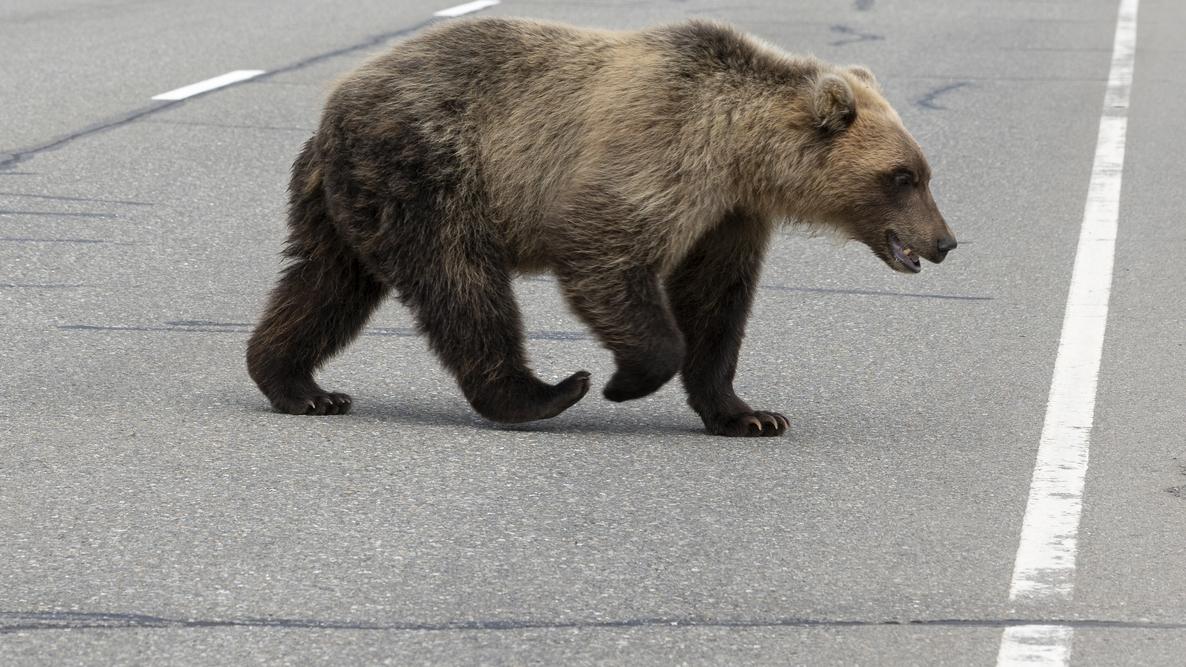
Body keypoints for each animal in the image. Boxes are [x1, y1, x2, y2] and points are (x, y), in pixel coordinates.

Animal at [243, 15, 953, 436]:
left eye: (923, 171)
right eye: (902, 176)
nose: (944, 242)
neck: (743, 152)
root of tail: (335, 103)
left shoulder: (728, 214)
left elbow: (716, 302)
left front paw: (749, 414)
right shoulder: (661, 150)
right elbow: (604, 248)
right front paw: (623, 380)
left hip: (349, 200)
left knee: (325, 282)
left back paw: (299, 384)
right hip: (430, 169)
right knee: (461, 282)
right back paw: (544, 391)